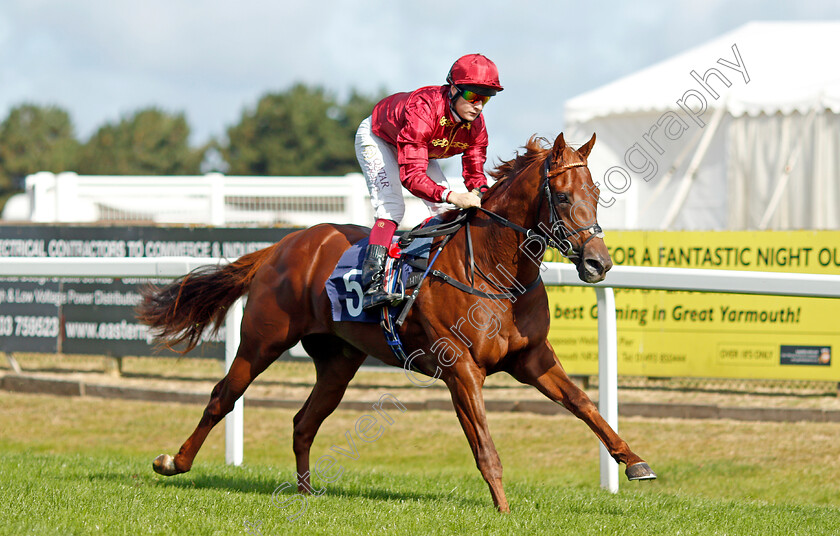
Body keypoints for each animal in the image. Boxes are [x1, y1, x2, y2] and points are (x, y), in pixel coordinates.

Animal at [138, 132, 656, 512]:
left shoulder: (532, 358)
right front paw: (504, 509)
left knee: (304, 421)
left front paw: (635, 462)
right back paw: (173, 462)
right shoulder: (460, 368)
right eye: (563, 198)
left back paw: (305, 492)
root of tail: (282, 245)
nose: (599, 264)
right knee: (222, 397)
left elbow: (586, 405)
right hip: (261, 341)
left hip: (338, 361)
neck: (494, 273)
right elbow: (484, 445)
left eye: (597, 194)